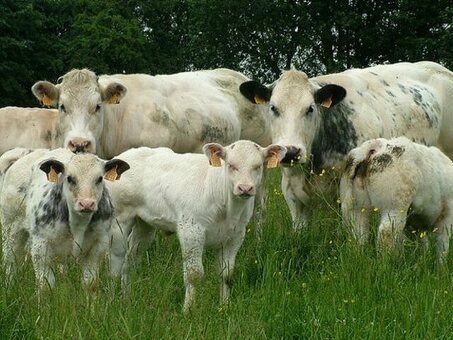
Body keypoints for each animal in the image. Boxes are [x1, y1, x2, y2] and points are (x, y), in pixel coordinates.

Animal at [1, 148, 129, 290]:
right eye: (70, 178)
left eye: (100, 178)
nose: (86, 204)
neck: (78, 224)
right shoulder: (41, 248)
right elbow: (46, 287)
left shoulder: (97, 248)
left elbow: (90, 284)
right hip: (11, 230)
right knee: (11, 262)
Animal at [105, 139, 286, 310]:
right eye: (231, 165)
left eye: (257, 166)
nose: (245, 188)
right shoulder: (191, 230)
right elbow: (194, 275)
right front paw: (188, 309)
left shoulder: (235, 235)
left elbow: (227, 273)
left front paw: (225, 306)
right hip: (119, 220)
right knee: (116, 262)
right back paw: (112, 300)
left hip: (144, 225)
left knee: (130, 260)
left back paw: (127, 299)